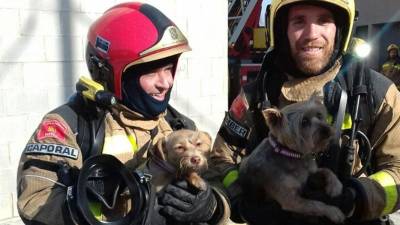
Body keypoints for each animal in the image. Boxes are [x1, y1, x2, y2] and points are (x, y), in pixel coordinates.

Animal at [239, 95, 346, 223]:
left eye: (319, 115)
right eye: (304, 122)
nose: (327, 130)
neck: (289, 153)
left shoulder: (311, 171)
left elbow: (327, 170)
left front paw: (335, 186)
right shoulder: (290, 200)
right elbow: (315, 204)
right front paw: (333, 211)